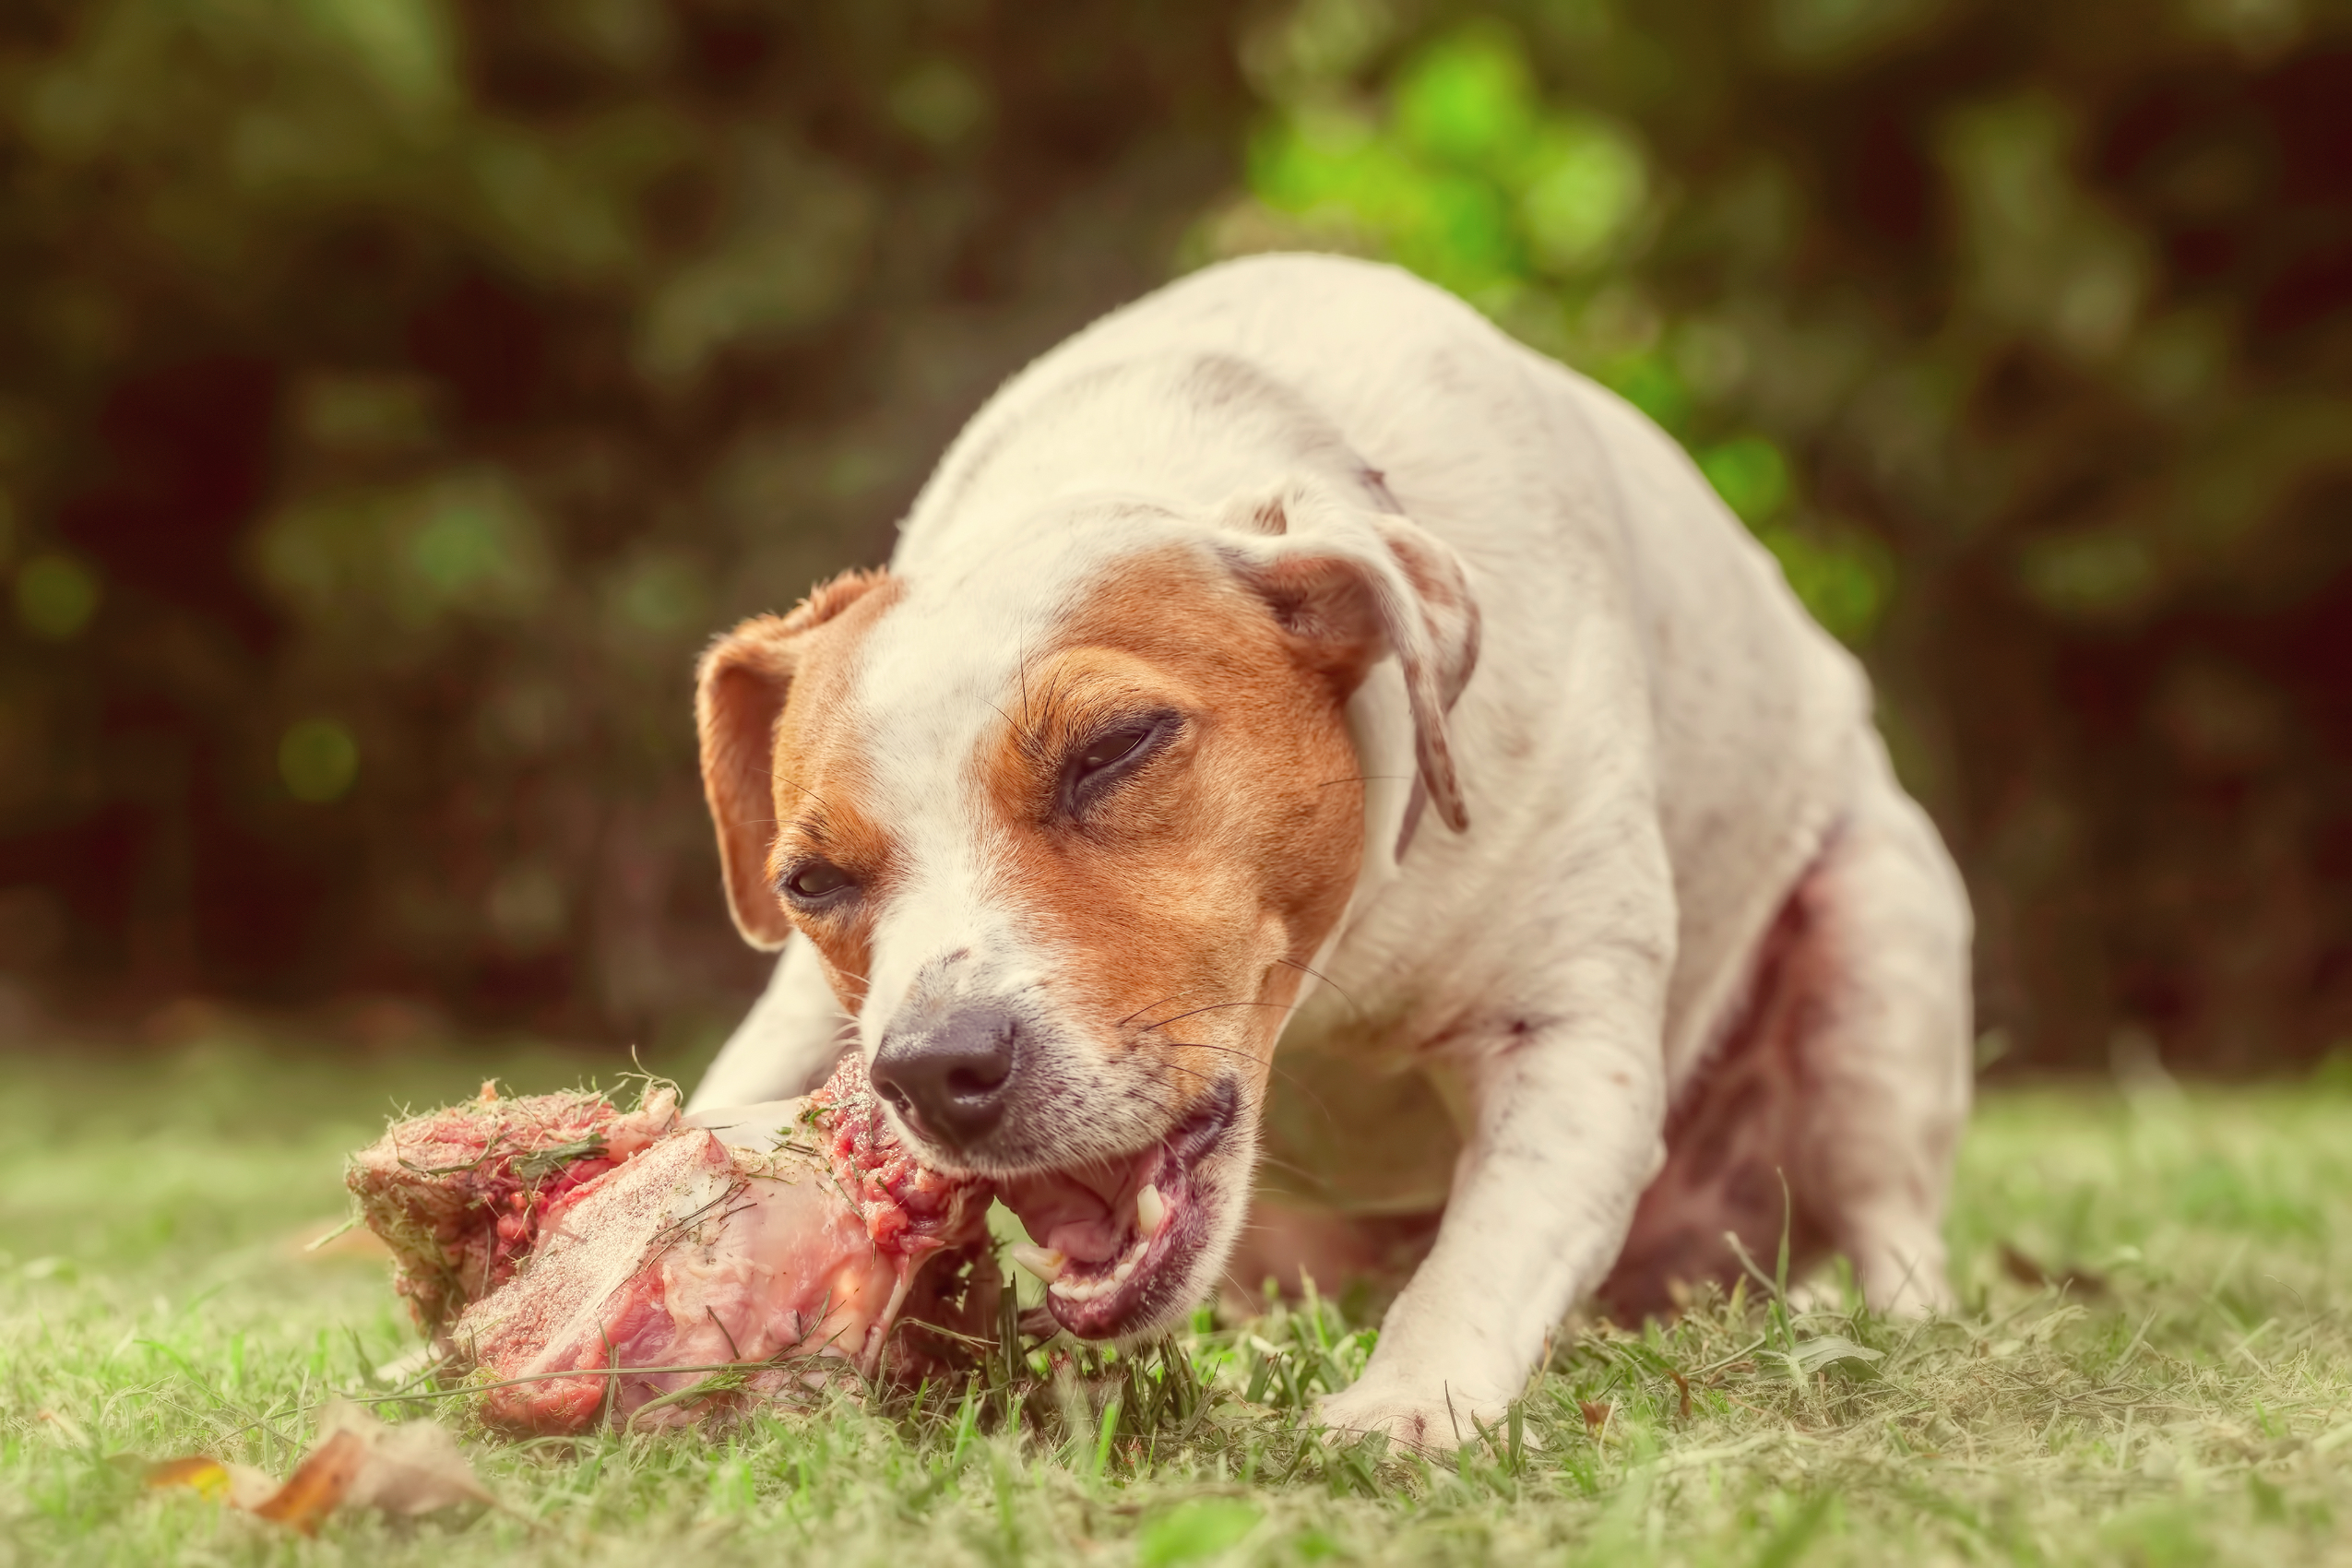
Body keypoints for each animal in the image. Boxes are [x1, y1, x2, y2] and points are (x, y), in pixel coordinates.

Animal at [686, 255, 1976, 1448]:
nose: (933, 1069)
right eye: (811, 881)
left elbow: (1482, 1260)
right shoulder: (801, 1008)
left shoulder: (1571, 1039)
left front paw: (1407, 1403)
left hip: (1876, 947)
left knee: (1896, 1221)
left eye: (1115, 745)